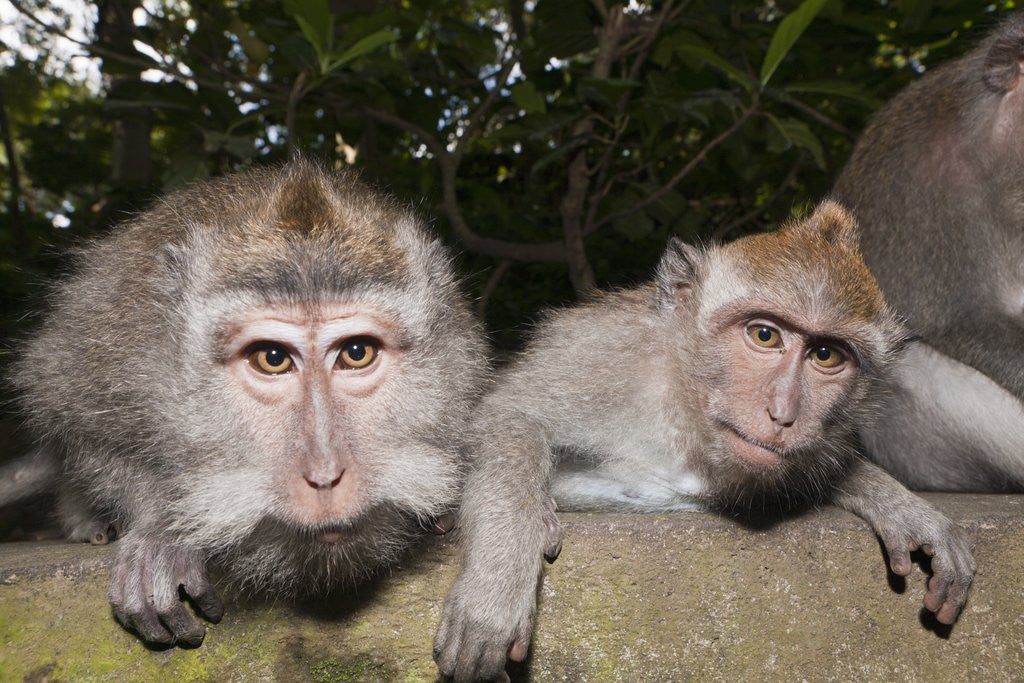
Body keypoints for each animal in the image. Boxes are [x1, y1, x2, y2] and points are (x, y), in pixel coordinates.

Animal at [1, 158, 487, 647]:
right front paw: (164, 529)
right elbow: (82, 428)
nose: (325, 476)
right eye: (271, 358)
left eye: (356, 353)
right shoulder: (108, 359)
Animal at [433, 201, 976, 682]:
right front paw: (497, 586)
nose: (783, 414)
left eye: (825, 355)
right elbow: (507, 413)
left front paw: (897, 502)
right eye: (764, 335)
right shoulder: (602, 354)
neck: (684, 399)